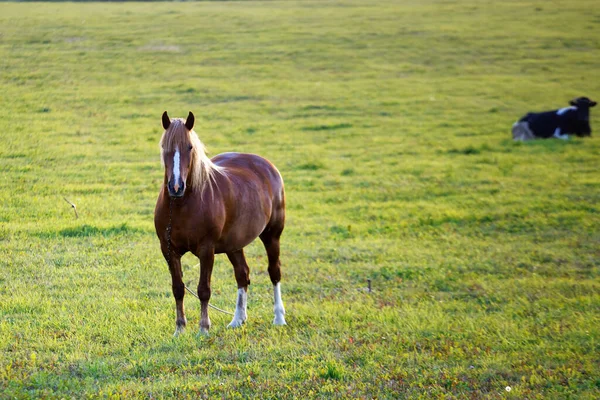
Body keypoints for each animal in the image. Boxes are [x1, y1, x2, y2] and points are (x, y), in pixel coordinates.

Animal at [154, 110, 288, 334]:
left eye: (189, 147)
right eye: (165, 146)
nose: (176, 187)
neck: (181, 205)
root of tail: (267, 166)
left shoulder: (206, 250)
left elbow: (203, 289)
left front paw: (203, 329)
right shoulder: (169, 249)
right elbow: (178, 288)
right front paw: (180, 329)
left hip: (272, 236)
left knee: (274, 272)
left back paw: (279, 318)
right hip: (234, 244)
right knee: (242, 274)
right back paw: (237, 319)